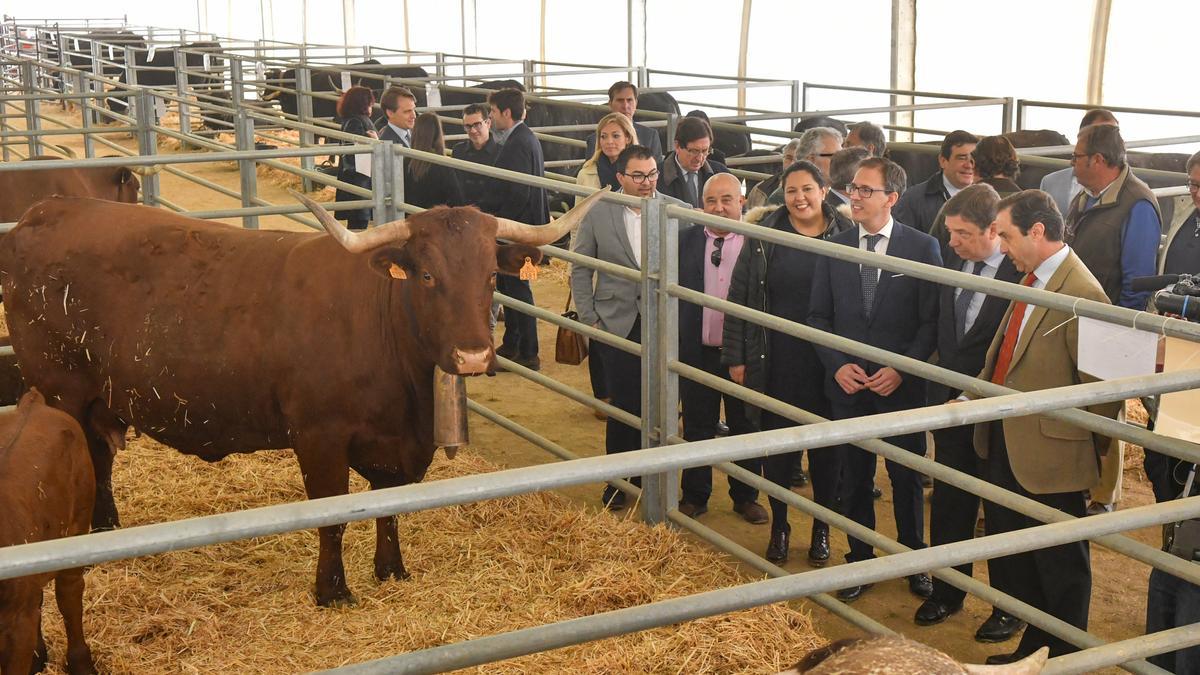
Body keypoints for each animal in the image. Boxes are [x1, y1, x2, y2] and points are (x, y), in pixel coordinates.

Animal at [0, 189, 604, 605]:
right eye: (428, 276)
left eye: (489, 278)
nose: (474, 356)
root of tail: (46, 210)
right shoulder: (319, 438)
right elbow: (332, 515)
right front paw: (332, 591)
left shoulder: (401, 445)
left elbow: (389, 507)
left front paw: (391, 569)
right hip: (60, 391)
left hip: (99, 397)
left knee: (100, 457)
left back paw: (107, 528)